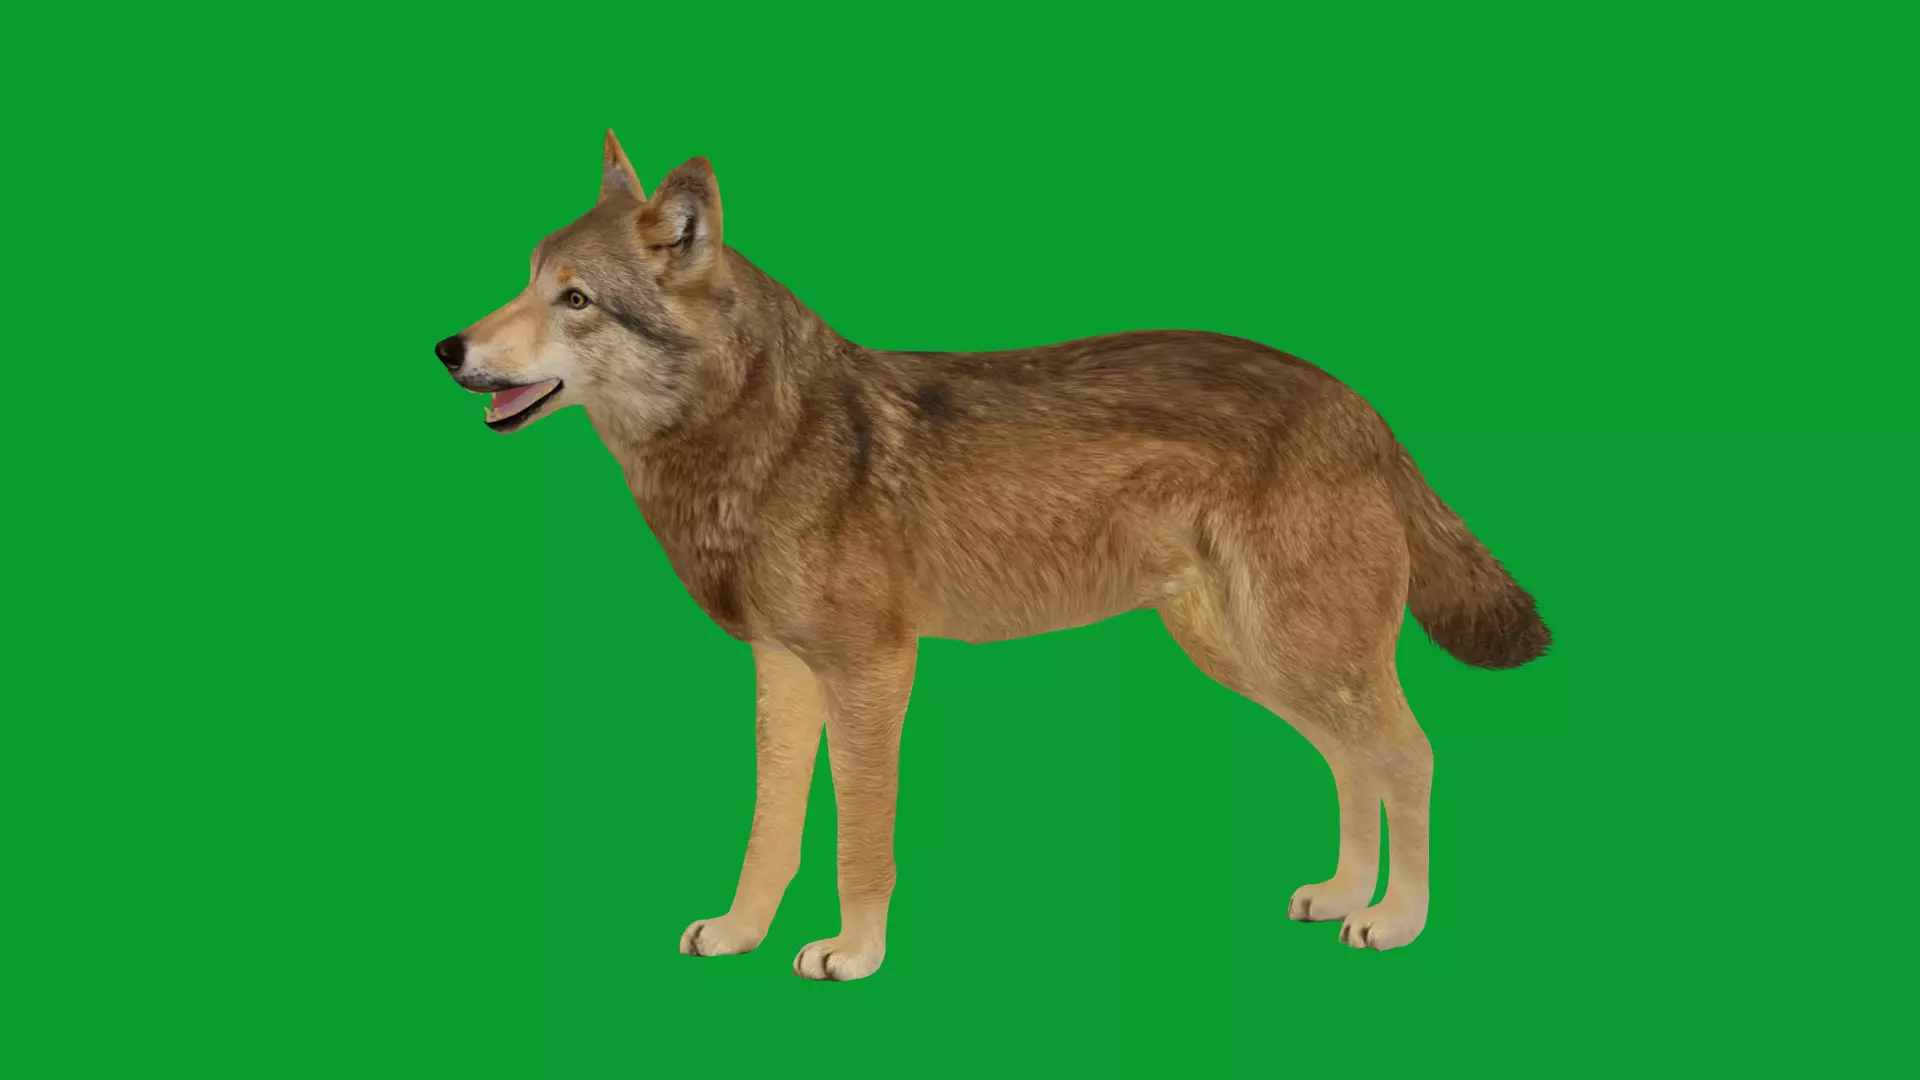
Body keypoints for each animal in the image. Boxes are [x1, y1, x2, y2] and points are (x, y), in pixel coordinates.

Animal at [434, 130, 1551, 982]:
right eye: (525, 282)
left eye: (575, 299)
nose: (447, 348)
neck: (758, 435)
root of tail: (1362, 405)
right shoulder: (784, 672)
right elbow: (771, 830)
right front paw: (742, 934)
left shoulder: (874, 671)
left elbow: (859, 839)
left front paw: (853, 953)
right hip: (1262, 662)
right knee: (1353, 758)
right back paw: (1343, 894)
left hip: (1300, 654)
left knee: (1409, 754)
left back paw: (1396, 919)